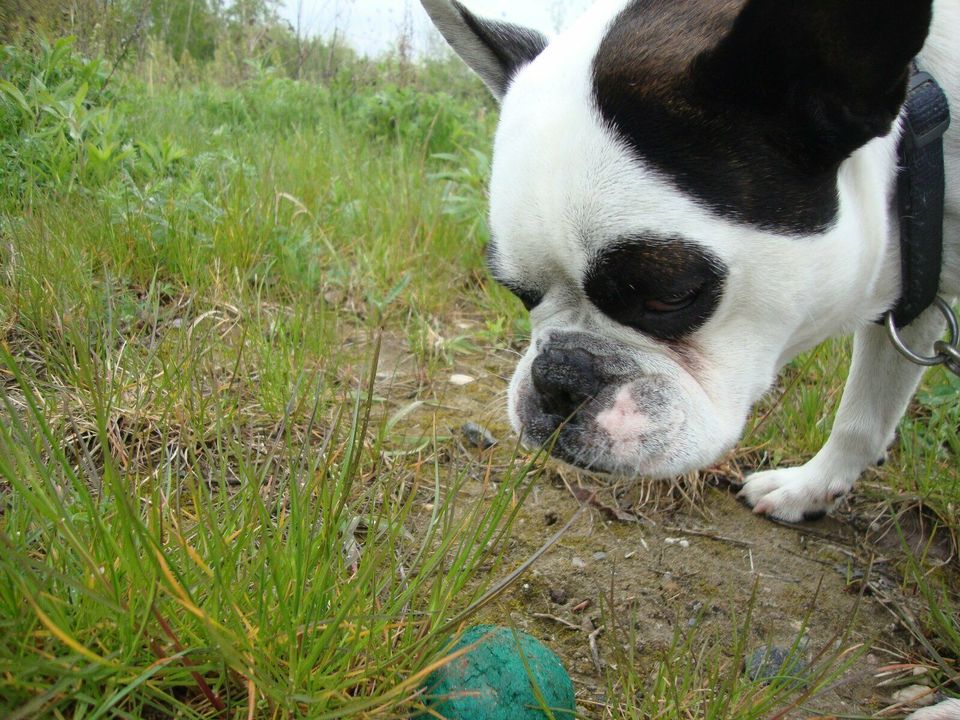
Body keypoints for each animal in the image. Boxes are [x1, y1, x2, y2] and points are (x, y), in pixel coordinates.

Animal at [424, 0, 956, 524]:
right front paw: (811, 489)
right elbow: (865, 414)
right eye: (518, 293)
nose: (558, 377)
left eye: (671, 296)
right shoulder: (917, 299)